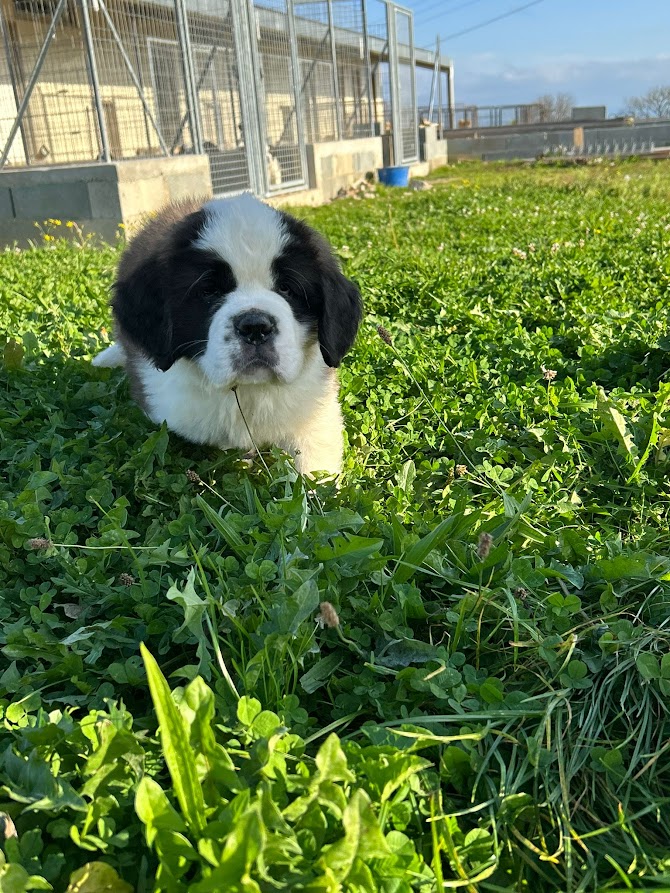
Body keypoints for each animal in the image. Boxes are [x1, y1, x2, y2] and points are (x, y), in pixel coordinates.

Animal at [93, 193, 362, 478]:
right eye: (209, 290)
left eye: (287, 289)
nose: (255, 327)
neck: (247, 392)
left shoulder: (313, 405)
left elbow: (313, 462)